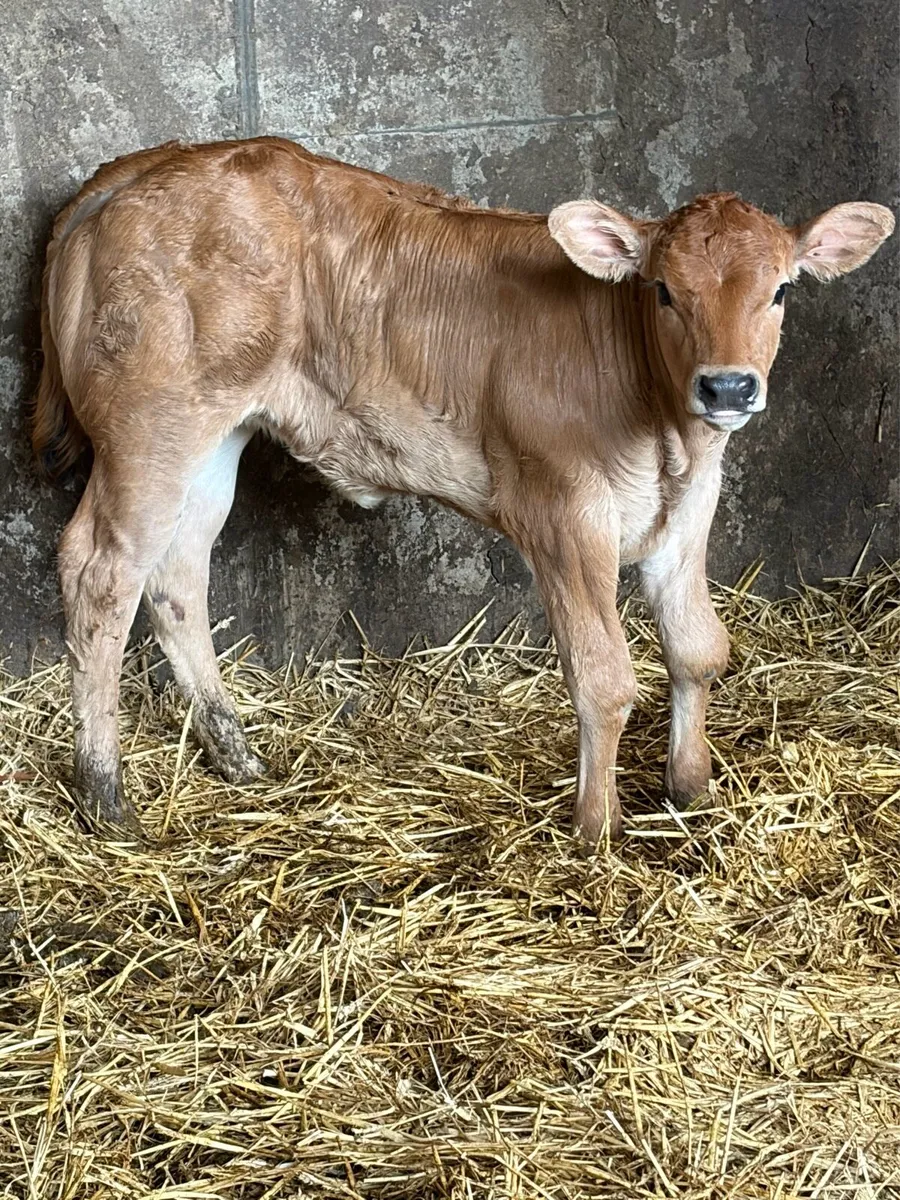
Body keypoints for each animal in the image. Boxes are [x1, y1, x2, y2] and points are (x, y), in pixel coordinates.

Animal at [32, 137, 894, 844]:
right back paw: (104, 794)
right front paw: (596, 827)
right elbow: (603, 676)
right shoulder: (562, 516)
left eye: (781, 291)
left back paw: (237, 755)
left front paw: (692, 788)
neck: (667, 439)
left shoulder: (687, 516)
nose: (727, 387)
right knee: (100, 571)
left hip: (216, 438)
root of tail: (137, 170)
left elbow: (698, 651)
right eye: (662, 292)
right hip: (150, 430)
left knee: (177, 576)